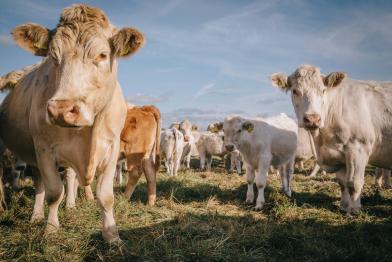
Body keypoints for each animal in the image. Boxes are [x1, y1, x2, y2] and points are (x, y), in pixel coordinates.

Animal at [0, 4, 145, 242]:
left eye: (102, 55)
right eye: (53, 56)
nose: (61, 110)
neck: (89, 134)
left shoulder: (112, 148)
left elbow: (106, 195)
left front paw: (112, 235)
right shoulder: (44, 148)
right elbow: (53, 193)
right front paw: (51, 229)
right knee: (38, 182)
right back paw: (32, 214)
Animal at [272, 64, 392, 215]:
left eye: (323, 90)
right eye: (295, 91)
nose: (313, 119)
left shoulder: (358, 148)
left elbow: (354, 183)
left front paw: (354, 210)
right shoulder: (339, 155)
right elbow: (343, 183)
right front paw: (344, 206)